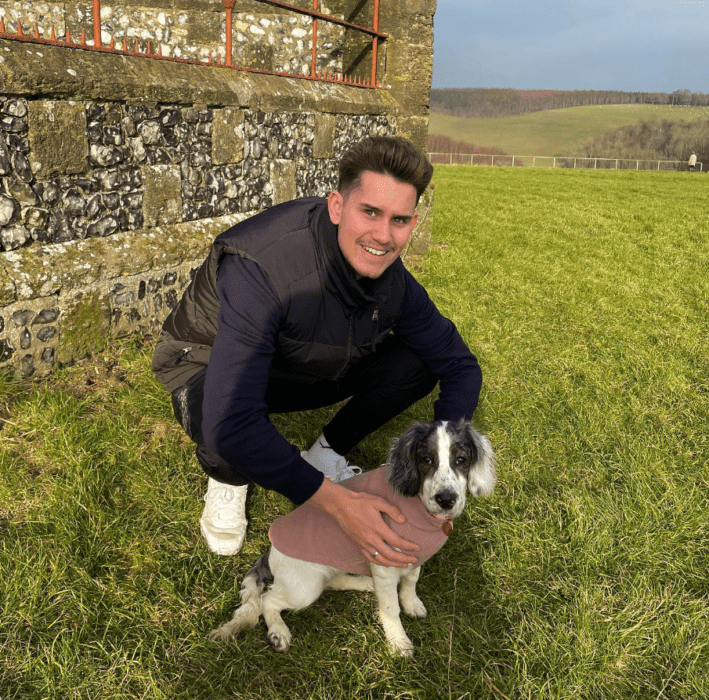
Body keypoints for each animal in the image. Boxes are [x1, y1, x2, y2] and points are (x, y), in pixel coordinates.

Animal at [207, 422, 496, 656]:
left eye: (462, 459)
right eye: (425, 458)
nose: (446, 500)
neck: (421, 510)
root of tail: (270, 554)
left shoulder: (414, 556)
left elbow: (411, 582)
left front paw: (412, 603)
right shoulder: (385, 562)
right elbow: (391, 608)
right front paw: (399, 642)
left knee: (332, 582)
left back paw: (365, 584)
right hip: (304, 588)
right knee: (269, 599)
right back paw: (279, 631)